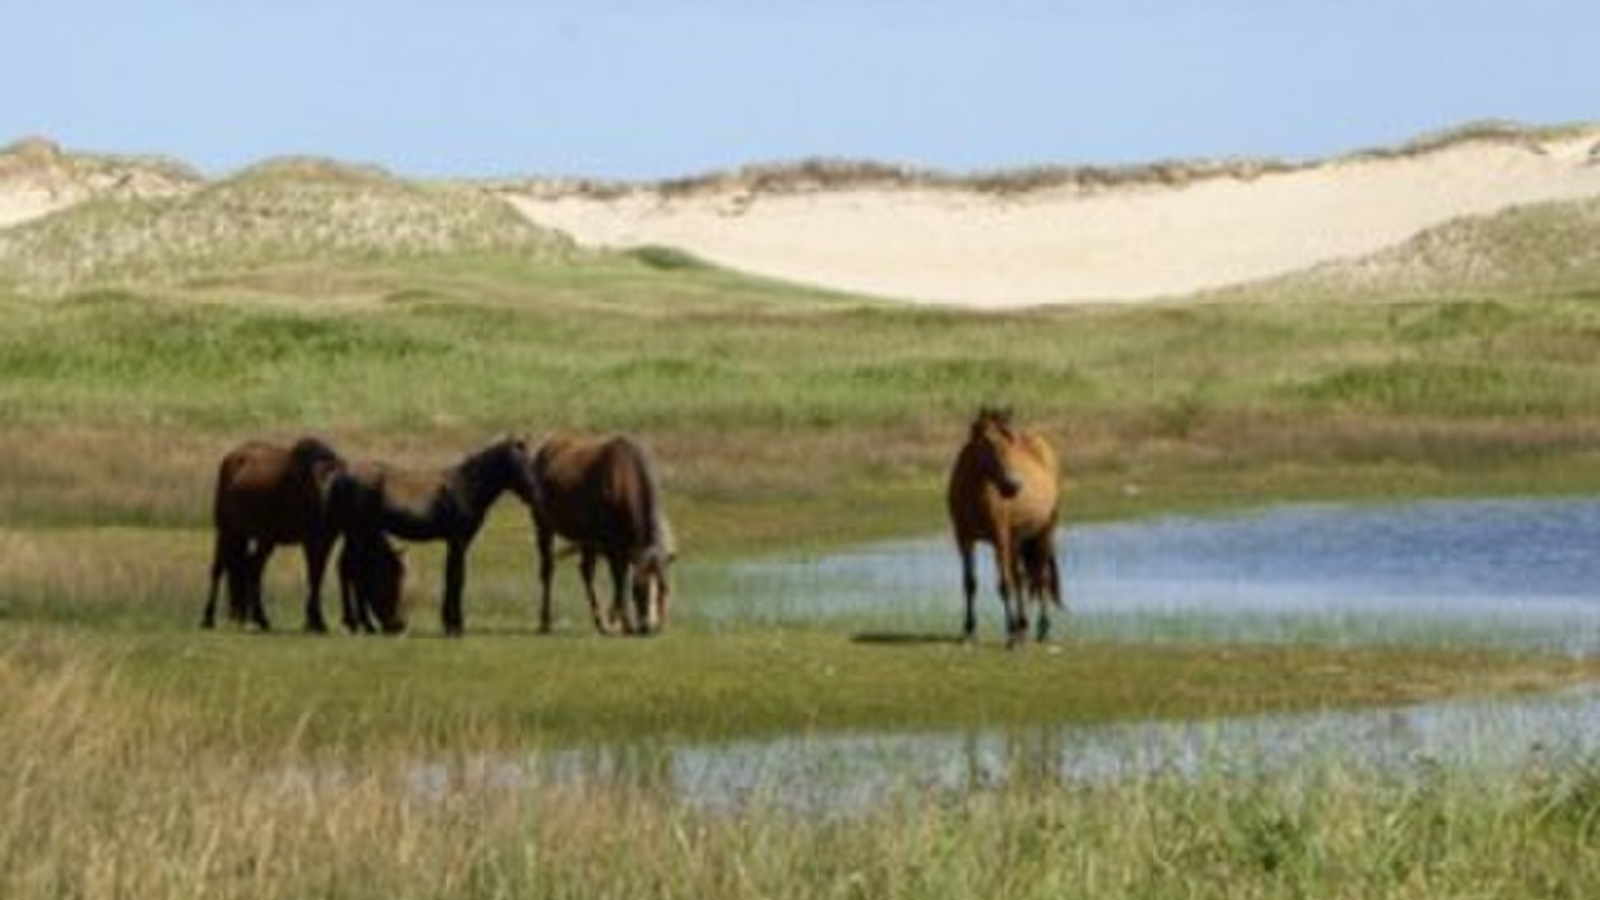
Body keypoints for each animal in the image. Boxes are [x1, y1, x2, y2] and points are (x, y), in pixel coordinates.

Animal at [203, 437, 344, 632]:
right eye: (316, 481)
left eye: (338, 485)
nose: (326, 504)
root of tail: (231, 458)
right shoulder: (309, 540)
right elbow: (314, 575)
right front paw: (314, 620)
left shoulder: (322, 541)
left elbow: (316, 576)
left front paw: (315, 621)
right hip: (229, 532)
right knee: (220, 569)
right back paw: (209, 618)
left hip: (253, 537)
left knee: (249, 568)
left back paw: (255, 617)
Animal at [325, 436, 540, 636]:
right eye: (518, 463)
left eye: (531, 462)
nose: (533, 494)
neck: (465, 487)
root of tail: (340, 476)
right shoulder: (457, 541)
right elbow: (456, 578)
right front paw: (455, 626)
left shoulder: (457, 543)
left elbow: (452, 577)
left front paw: (450, 623)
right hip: (358, 532)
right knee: (353, 570)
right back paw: (362, 624)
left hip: (355, 533)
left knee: (348, 568)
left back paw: (357, 623)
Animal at [530, 434, 676, 636]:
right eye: (638, 589)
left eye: (664, 588)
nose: (649, 627)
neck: (625, 479)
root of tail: (545, 448)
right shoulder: (613, 547)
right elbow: (620, 581)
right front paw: (625, 622)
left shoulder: (626, 549)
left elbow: (621, 579)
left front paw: (615, 619)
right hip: (544, 527)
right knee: (548, 569)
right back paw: (545, 621)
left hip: (587, 539)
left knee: (586, 572)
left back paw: (601, 622)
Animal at [946, 407, 1063, 647]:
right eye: (987, 442)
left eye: (1010, 441)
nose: (1013, 485)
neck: (976, 495)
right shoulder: (964, 539)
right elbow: (970, 583)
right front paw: (969, 631)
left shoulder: (999, 538)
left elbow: (1004, 584)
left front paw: (1010, 633)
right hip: (1017, 540)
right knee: (1023, 578)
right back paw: (1023, 627)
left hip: (1045, 531)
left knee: (1041, 576)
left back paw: (1042, 629)